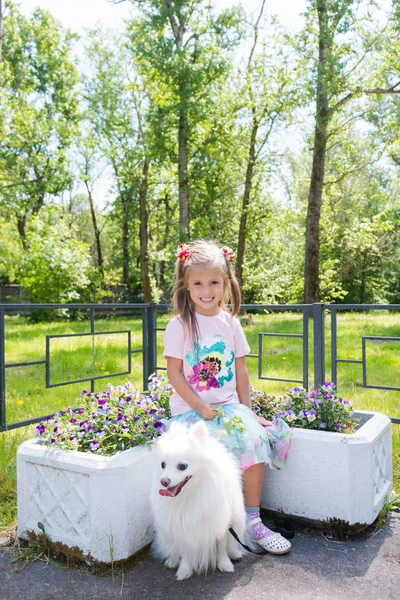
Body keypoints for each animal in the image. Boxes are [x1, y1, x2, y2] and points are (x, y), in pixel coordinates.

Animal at [150, 420, 245, 580]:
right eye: (163, 465)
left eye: (182, 466)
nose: (163, 481)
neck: (194, 493)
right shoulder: (184, 526)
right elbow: (186, 551)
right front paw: (184, 570)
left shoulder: (222, 523)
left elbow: (221, 547)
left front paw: (225, 564)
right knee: (173, 548)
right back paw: (172, 560)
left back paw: (234, 553)